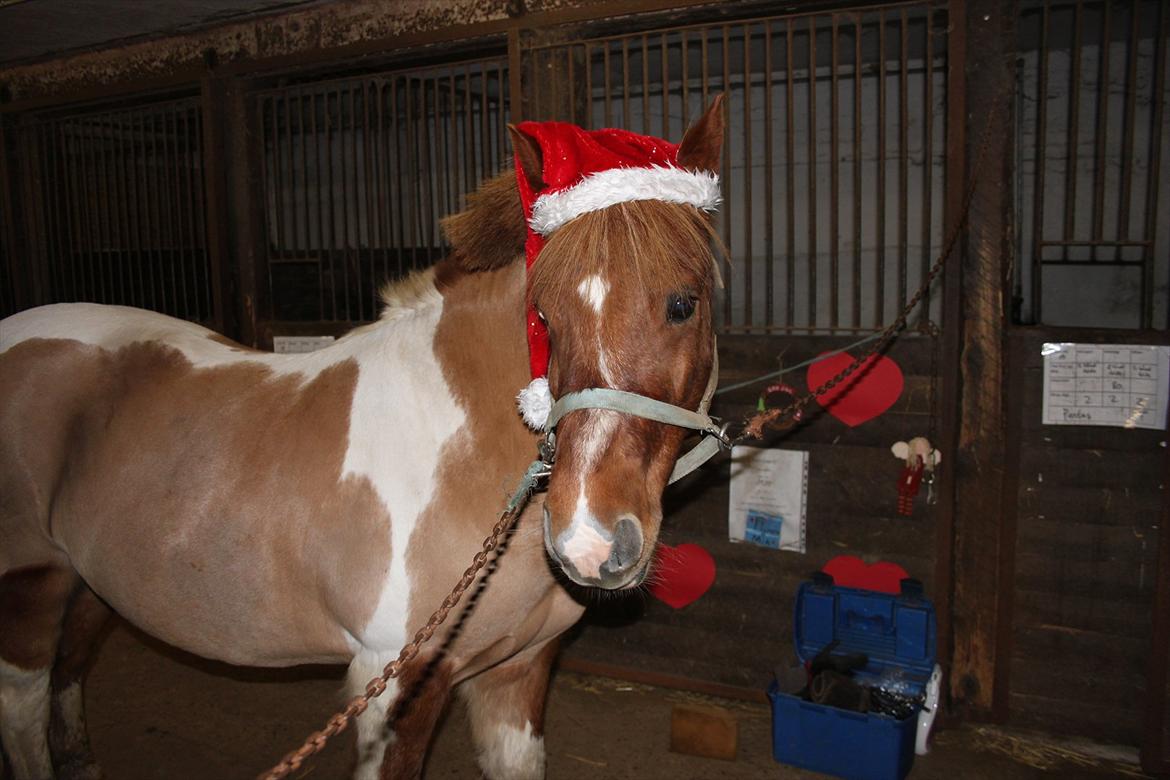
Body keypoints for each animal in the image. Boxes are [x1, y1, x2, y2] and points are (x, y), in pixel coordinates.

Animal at [0, 96, 725, 780]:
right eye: (543, 316)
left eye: (683, 304)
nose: (589, 541)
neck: (460, 451)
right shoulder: (393, 685)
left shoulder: (516, 674)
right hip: (29, 589)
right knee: (23, 711)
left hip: (90, 583)